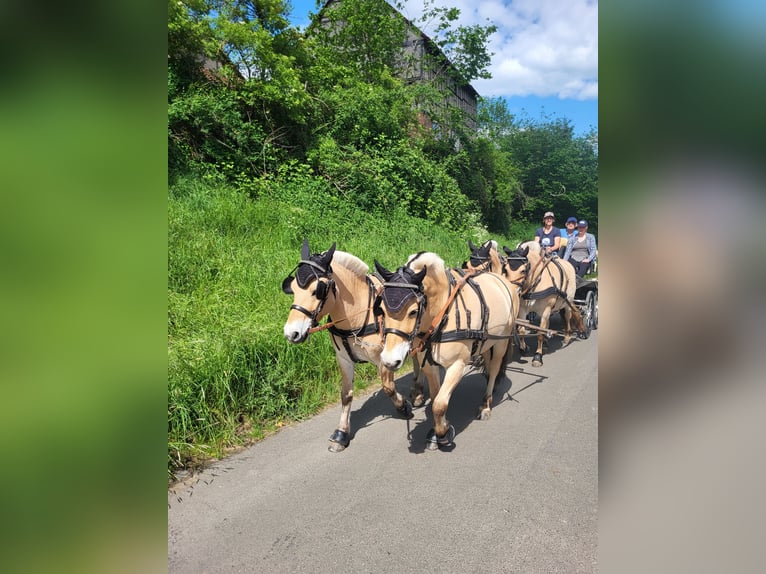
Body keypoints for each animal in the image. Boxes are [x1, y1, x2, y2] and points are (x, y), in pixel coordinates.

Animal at [282, 240, 416, 454]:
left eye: (317, 290)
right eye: (292, 288)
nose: (291, 333)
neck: (358, 315)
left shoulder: (384, 358)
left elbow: (388, 387)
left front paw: (403, 407)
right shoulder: (343, 359)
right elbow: (346, 395)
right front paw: (341, 433)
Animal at [376, 254, 520, 452]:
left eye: (413, 312)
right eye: (381, 310)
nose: (390, 361)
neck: (442, 314)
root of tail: (502, 280)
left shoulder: (457, 365)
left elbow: (439, 404)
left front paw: (443, 433)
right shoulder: (430, 365)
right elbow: (436, 398)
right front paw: (438, 429)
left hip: (501, 342)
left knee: (495, 368)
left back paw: (485, 404)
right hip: (486, 342)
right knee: (489, 363)